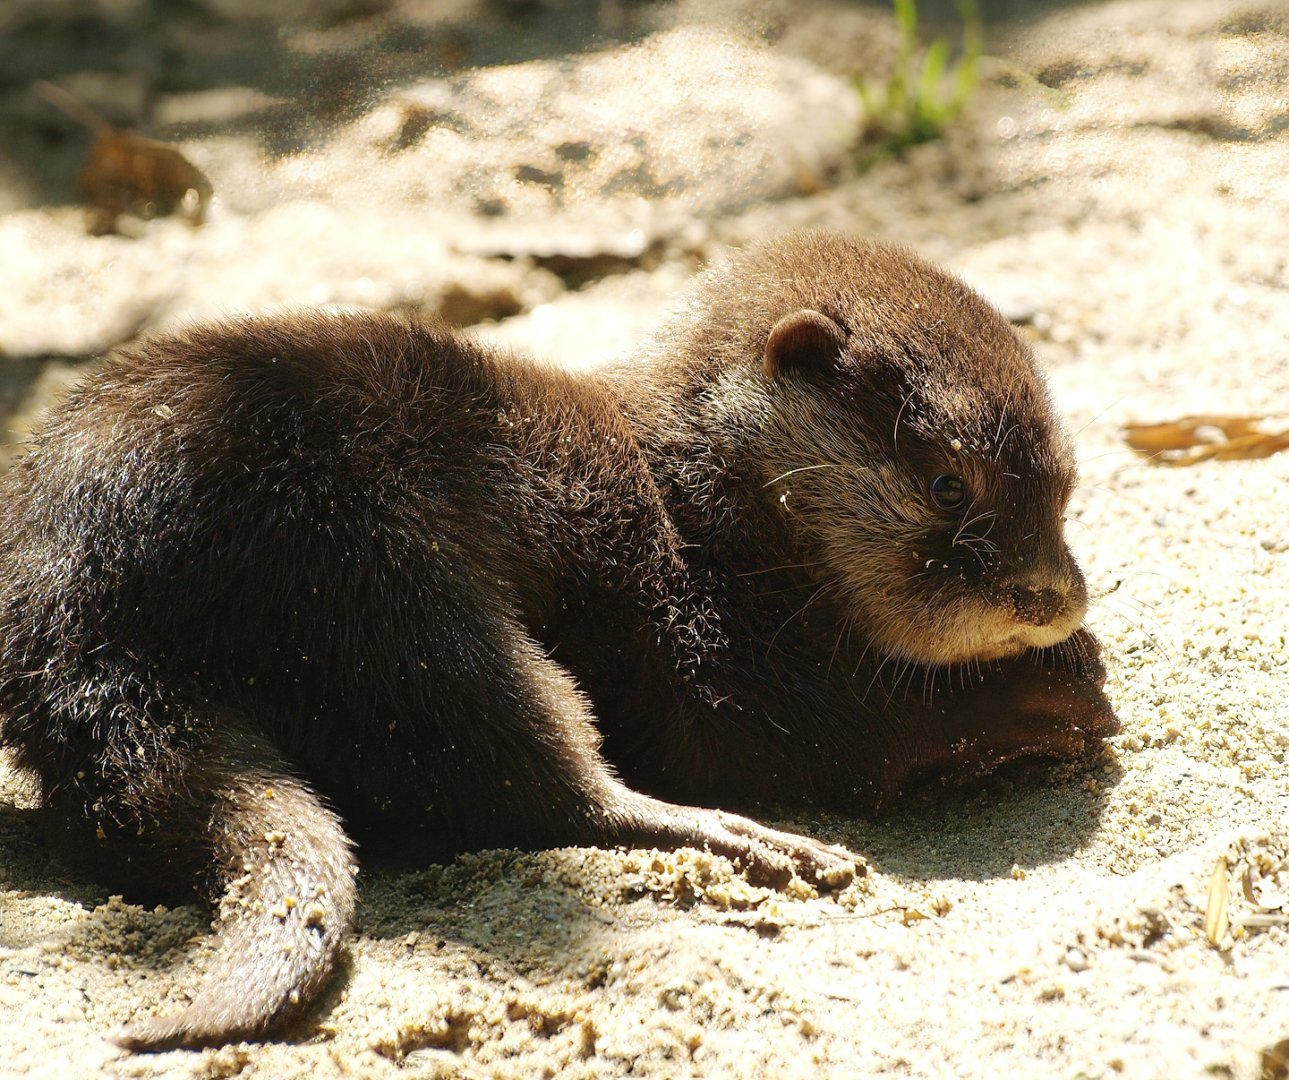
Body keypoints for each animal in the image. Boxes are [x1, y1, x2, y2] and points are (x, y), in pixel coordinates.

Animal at [0, 232, 1117, 1050]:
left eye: (1064, 485)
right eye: (947, 484)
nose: (1052, 597)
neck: (688, 503)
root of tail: (78, 603)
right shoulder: (695, 631)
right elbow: (802, 733)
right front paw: (1048, 694)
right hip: (378, 582)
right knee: (526, 773)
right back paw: (752, 842)